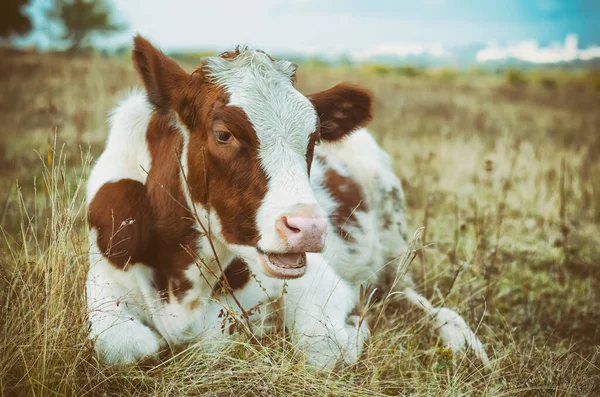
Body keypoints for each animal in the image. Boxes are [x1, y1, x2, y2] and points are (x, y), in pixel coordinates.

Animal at [85, 35, 488, 366]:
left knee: (412, 296)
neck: (183, 292)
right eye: (223, 134)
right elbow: (124, 345)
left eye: (313, 138)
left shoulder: (320, 283)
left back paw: (460, 338)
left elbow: (322, 344)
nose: (309, 228)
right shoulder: (104, 278)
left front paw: (356, 325)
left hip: (394, 245)